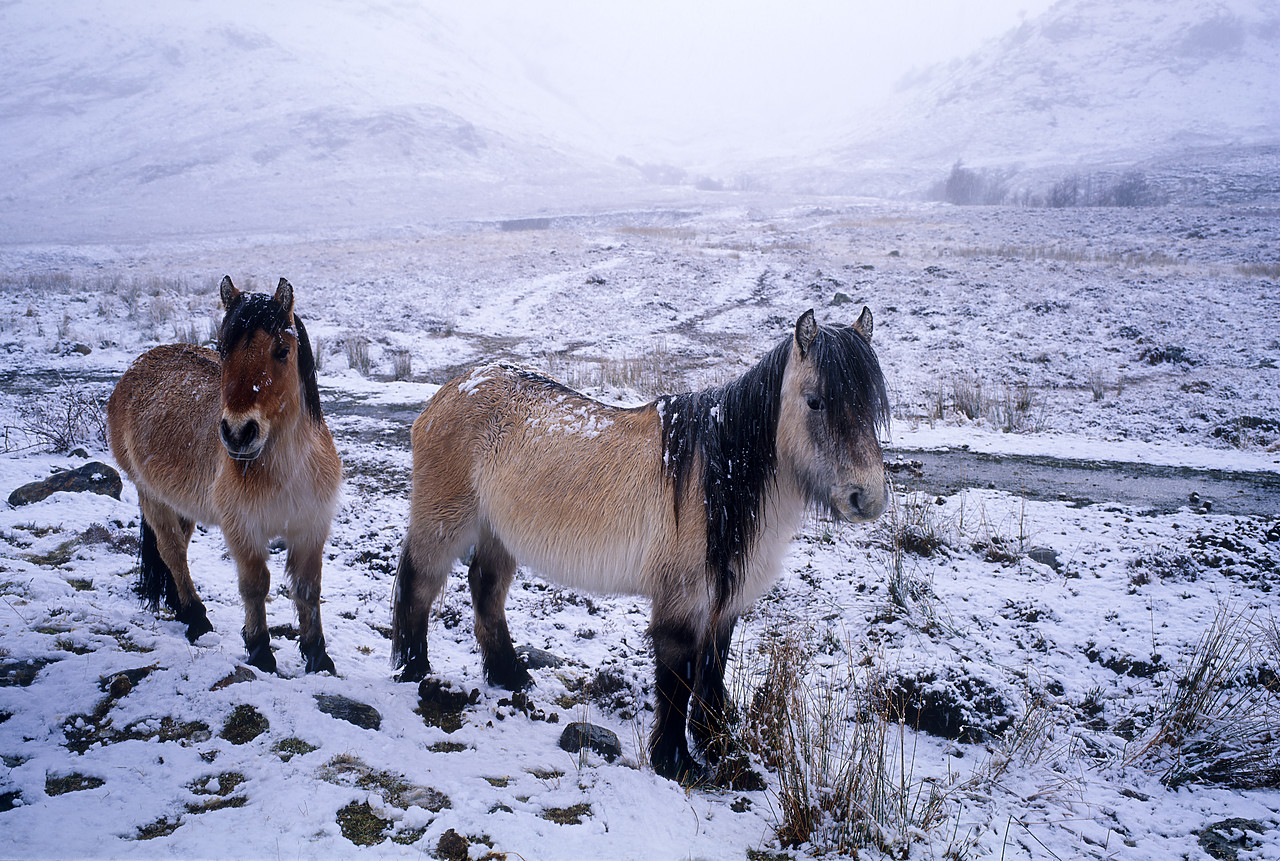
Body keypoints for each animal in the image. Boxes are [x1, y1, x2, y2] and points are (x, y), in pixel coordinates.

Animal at [107, 275, 343, 670]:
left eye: (282, 350)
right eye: (222, 348)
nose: (237, 432)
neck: (287, 471)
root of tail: (138, 365)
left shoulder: (311, 528)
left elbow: (309, 590)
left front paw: (318, 657)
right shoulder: (243, 530)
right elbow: (256, 586)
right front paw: (261, 652)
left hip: (181, 504)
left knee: (179, 550)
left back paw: (181, 607)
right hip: (150, 495)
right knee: (171, 551)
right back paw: (195, 617)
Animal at [391, 307, 890, 777]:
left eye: (871, 405)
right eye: (815, 401)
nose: (867, 498)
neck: (720, 478)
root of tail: (450, 390)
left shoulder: (724, 601)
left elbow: (712, 671)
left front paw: (717, 745)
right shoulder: (682, 599)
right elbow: (677, 677)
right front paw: (676, 761)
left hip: (498, 532)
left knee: (486, 588)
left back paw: (511, 677)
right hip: (445, 520)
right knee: (420, 582)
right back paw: (413, 670)